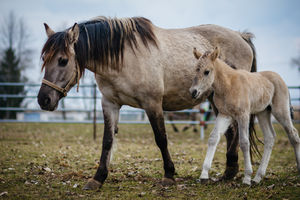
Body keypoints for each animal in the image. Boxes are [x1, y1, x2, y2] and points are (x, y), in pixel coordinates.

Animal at [37, 16, 255, 189]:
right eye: (45, 59)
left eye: (63, 60)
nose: (43, 99)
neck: (123, 58)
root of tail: (241, 37)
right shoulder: (109, 104)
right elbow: (107, 141)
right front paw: (98, 178)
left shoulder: (152, 104)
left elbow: (161, 139)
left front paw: (169, 175)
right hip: (215, 99)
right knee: (230, 132)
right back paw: (229, 172)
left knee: (236, 130)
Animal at [190, 46, 300, 184]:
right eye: (195, 69)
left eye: (207, 71)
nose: (193, 92)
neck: (228, 85)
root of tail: (280, 79)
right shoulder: (224, 115)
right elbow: (213, 138)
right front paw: (204, 175)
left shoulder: (243, 115)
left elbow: (244, 142)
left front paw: (247, 177)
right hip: (263, 112)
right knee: (270, 138)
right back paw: (257, 178)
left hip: (281, 111)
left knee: (293, 135)